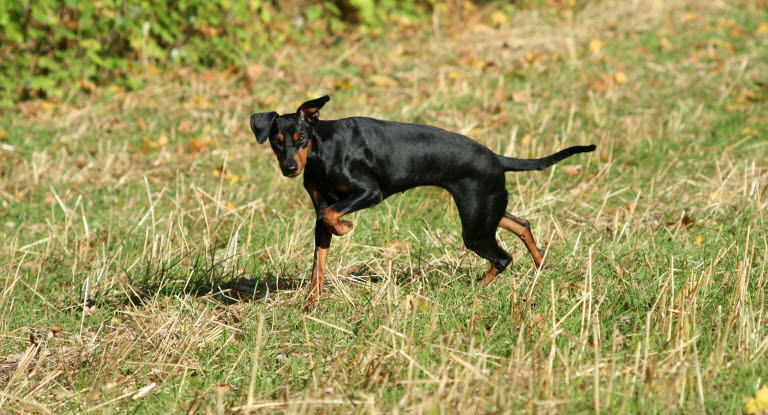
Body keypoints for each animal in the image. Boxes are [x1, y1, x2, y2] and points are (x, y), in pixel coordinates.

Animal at [249, 96, 596, 310]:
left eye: (302, 139)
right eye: (276, 142)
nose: (290, 169)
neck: (323, 150)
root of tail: (497, 158)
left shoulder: (368, 192)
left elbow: (336, 216)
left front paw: (345, 227)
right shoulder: (320, 213)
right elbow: (317, 267)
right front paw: (311, 304)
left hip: (475, 225)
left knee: (503, 258)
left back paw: (476, 289)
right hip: (486, 209)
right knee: (521, 224)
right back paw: (540, 265)